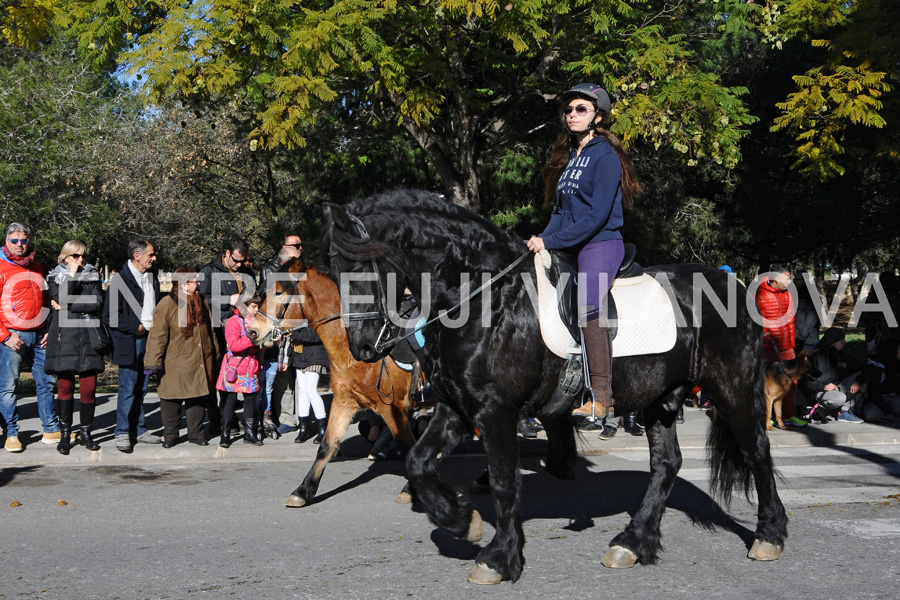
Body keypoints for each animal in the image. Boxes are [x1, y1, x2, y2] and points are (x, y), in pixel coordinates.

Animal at [246, 258, 414, 506]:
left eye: (278, 292)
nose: (252, 331)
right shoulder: (345, 401)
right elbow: (328, 445)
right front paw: (303, 491)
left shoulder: (391, 407)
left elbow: (409, 447)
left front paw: (411, 489)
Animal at [324, 190, 788, 584]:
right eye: (332, 271)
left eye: (360, 267)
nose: (363, 347)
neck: (484, 296)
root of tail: (735, 285)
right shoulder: (458, 407)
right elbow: (418, 462)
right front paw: (460, 521)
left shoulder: (495, 411)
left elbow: (504, 482)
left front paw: (499, 558)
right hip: (660, 399)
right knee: (667, 464)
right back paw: (632, 543)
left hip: (731, 389)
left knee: (757, 452)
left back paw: (769, 535)